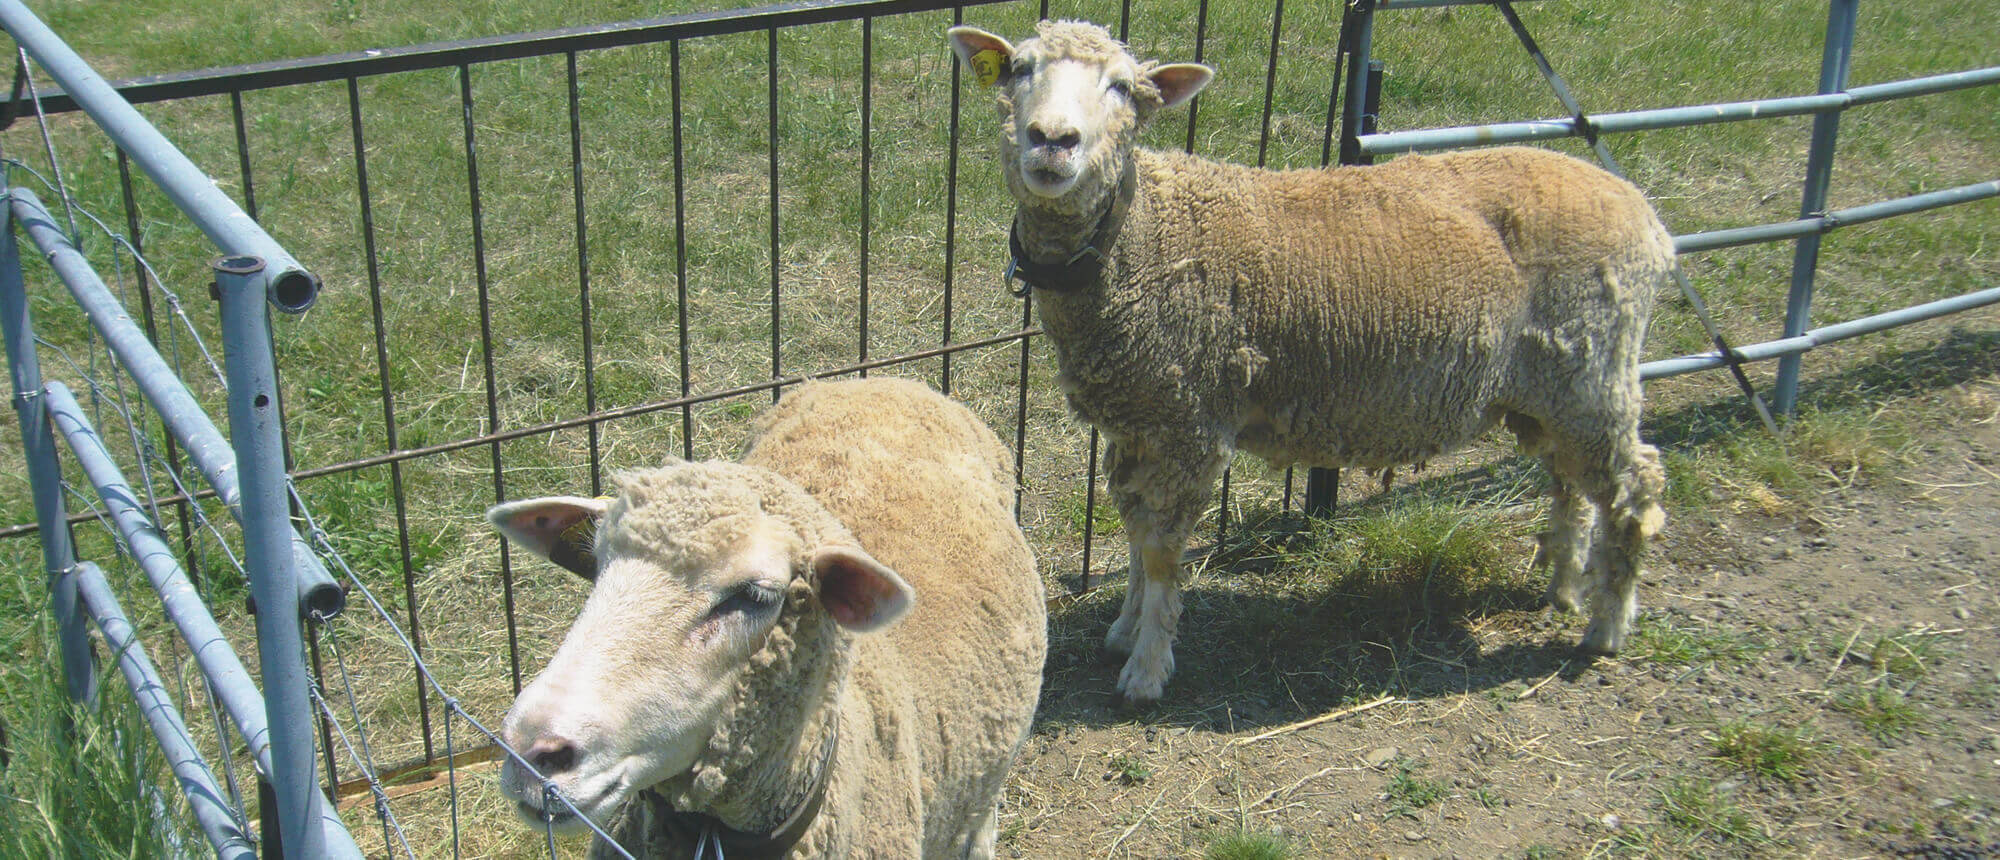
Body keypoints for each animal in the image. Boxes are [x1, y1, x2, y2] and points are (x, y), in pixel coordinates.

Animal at [952, 20, 1672, 704]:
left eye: (1124, 88)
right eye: (1019, 68)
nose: (1052, 140)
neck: (1138, 237)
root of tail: (1643, 213)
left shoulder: (1190, 421)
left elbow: (1160, 552)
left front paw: (1147, 670)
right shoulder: (1139, 419)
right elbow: (1133, 529)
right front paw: (1124, 630)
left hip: (1592, 377)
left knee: (1635, 485)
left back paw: (1608, 625)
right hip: (1544, 394)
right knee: (1572, 484)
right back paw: (1564, 587)